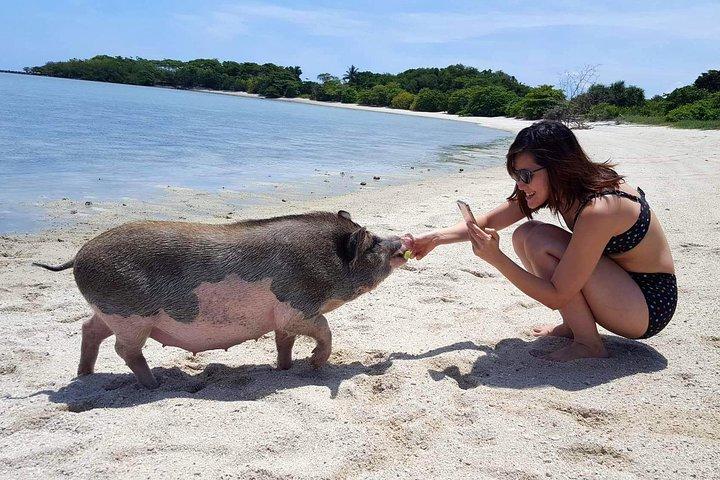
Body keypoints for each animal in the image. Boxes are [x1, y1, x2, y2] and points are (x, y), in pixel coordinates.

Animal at [33, 211, 408, 388]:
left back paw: (85, 375)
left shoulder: (283, 318)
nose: (402, 241)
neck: (325, 261)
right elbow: (325, 329)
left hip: (110, 313)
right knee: (124, 349)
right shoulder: (297, 308)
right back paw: (156, 384)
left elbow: (283, 341)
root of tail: (78, 257)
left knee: (89, 329)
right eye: (373, 244)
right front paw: (315, 365)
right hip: (130, 317)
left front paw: (284, 369)